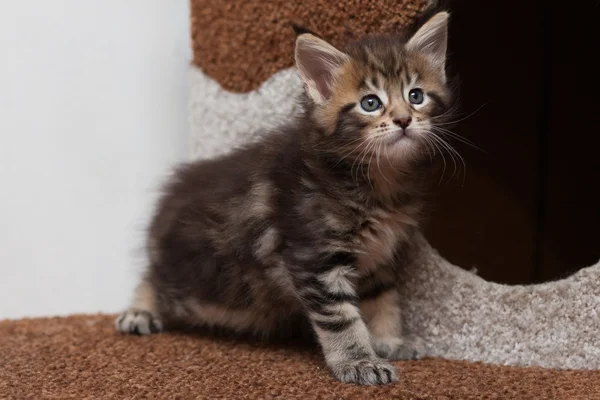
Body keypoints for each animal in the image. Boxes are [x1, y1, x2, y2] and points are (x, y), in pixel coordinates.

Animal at [116, 12, 454, 386]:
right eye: (370, 103)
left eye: (416, 96)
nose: (404, 120)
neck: (378, 181)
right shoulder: (315, 257)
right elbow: (342, 318)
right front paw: (359, 361)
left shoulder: (377, 258)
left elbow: (383, 301)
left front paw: (390, 341)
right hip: (189, 279)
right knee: (153, 277)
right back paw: (139, 312)